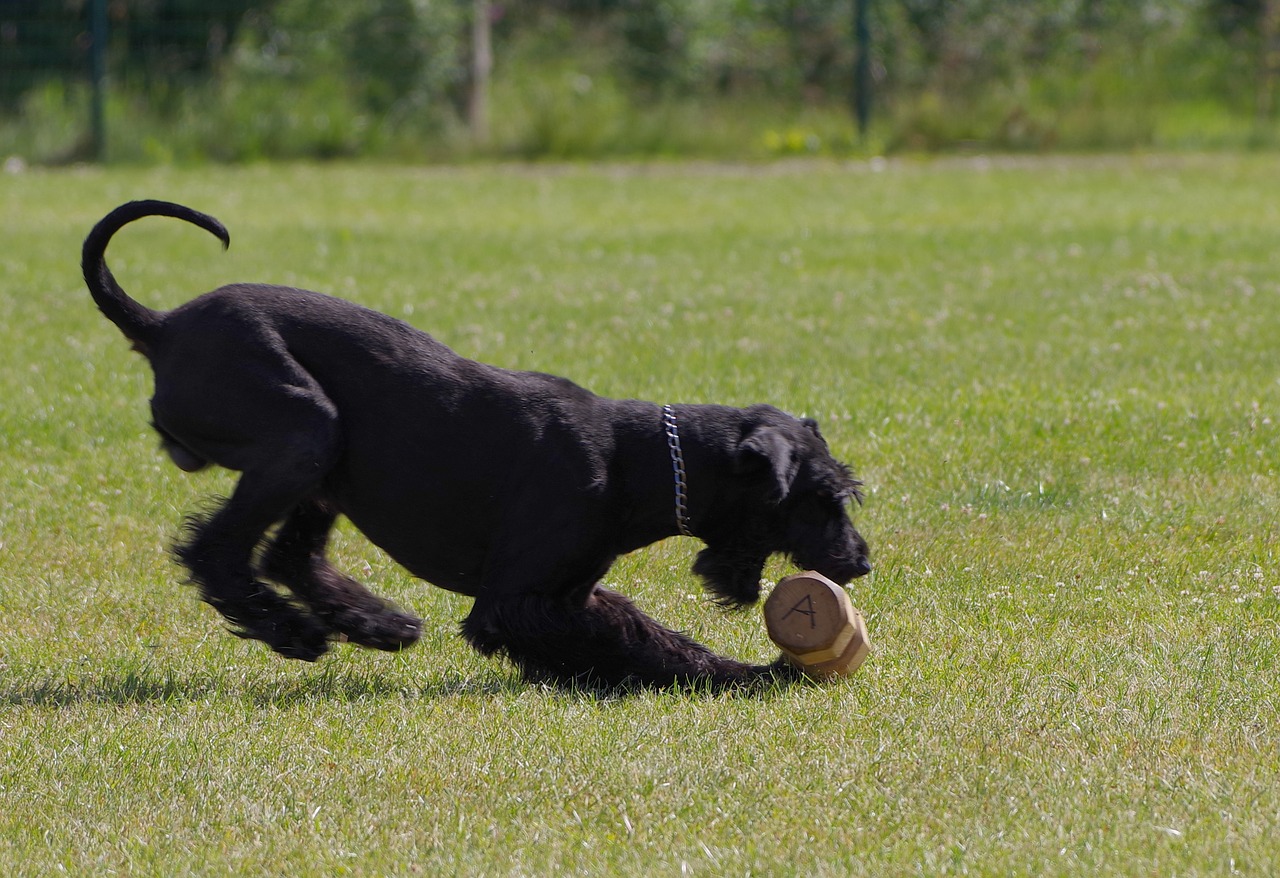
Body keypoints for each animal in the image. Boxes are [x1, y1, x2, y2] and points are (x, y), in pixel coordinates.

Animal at [82, 203, 870, 691]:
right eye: (823, 498)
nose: (860, 563)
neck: (639, 460)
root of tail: (162, 325)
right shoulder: (514, 601)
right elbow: (633, 643)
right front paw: (746, 677)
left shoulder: (570, 590)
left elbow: (640, 630)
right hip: (305, 432)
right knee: (216, 549)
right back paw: (291, 630)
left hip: (325, 465)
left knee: (288, 554)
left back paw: (377, 622)